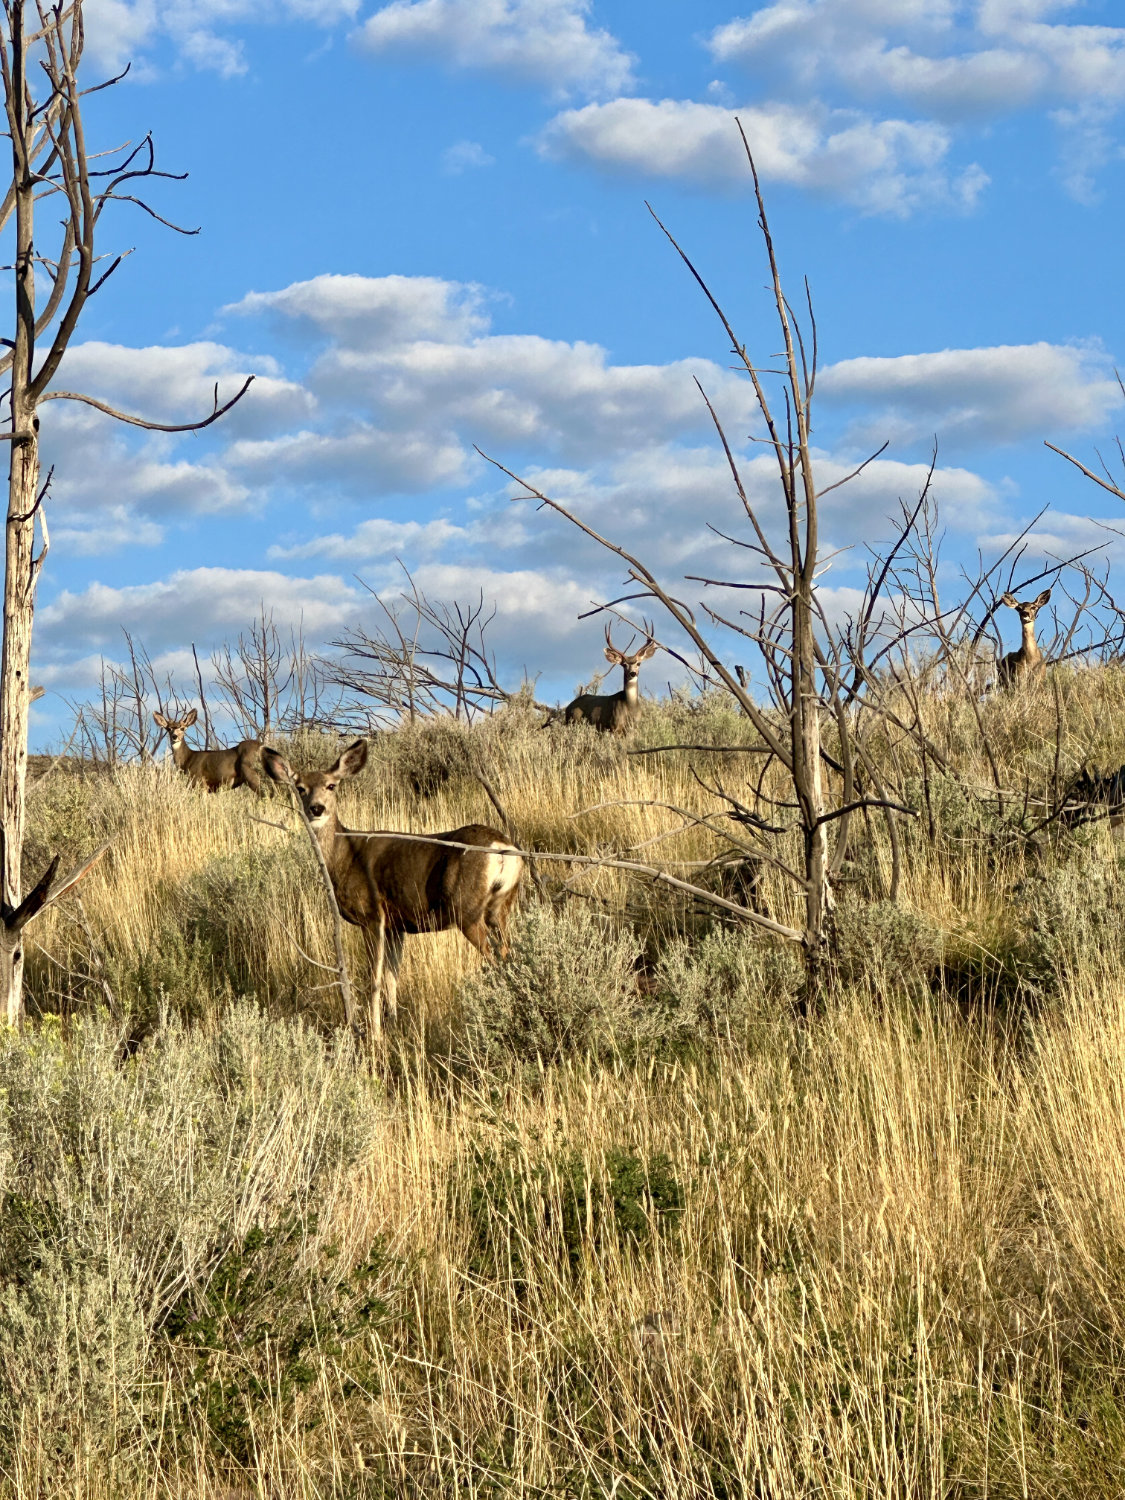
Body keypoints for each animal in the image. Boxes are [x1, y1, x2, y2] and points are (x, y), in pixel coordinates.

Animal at [264, 738, 525, 1044]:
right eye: (300, 787)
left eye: (331, 785)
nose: (316, 808)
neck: (345, 856)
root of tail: (503, 848)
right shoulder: (396, 925)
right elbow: (393, 976)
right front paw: (393, 1024)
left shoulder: (372, 915)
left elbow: (374, 979)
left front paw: (375, 1035)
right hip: (501, 907)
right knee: (507, 952)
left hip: (467, 909)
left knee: (494, 957)